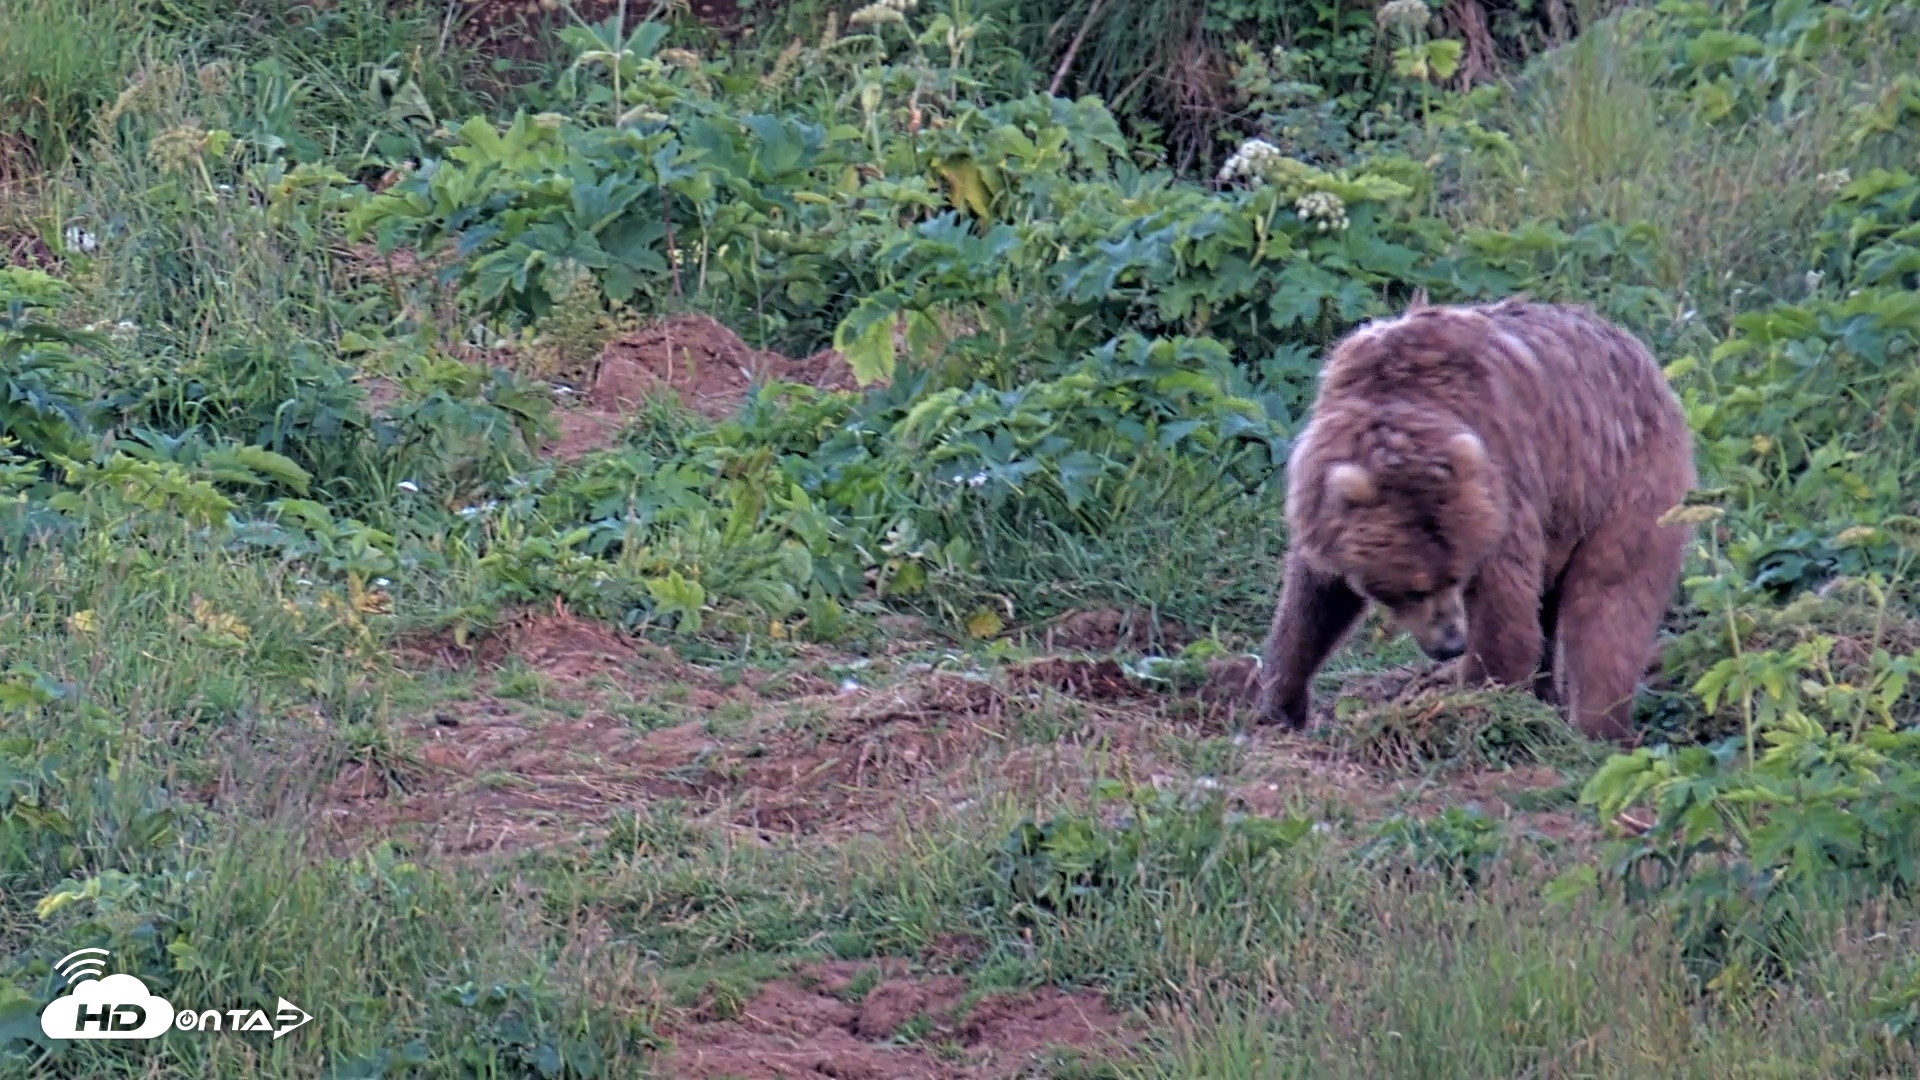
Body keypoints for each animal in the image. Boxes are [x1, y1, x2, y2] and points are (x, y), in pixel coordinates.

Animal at [1252, 294, 1697, 743]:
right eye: (1413, 589)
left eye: (1455, 576)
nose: (1451, 644)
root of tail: (1646, 359)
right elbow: (1314, 602)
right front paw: (1280, 704)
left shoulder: (1501, 487)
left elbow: (1503, 609)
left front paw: (1476, 706)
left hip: (1623, 483)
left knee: (1610, 606)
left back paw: (1597, 728)